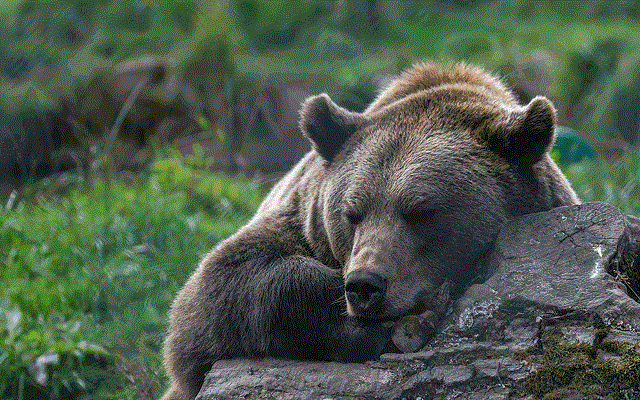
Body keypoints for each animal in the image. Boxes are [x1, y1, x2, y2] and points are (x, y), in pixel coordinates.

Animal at [161, 61, 580, 398]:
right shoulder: (299, 220)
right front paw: (371, 331)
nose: (365, 285)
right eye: (352, 213)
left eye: (420, 212)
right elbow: (211, 296)